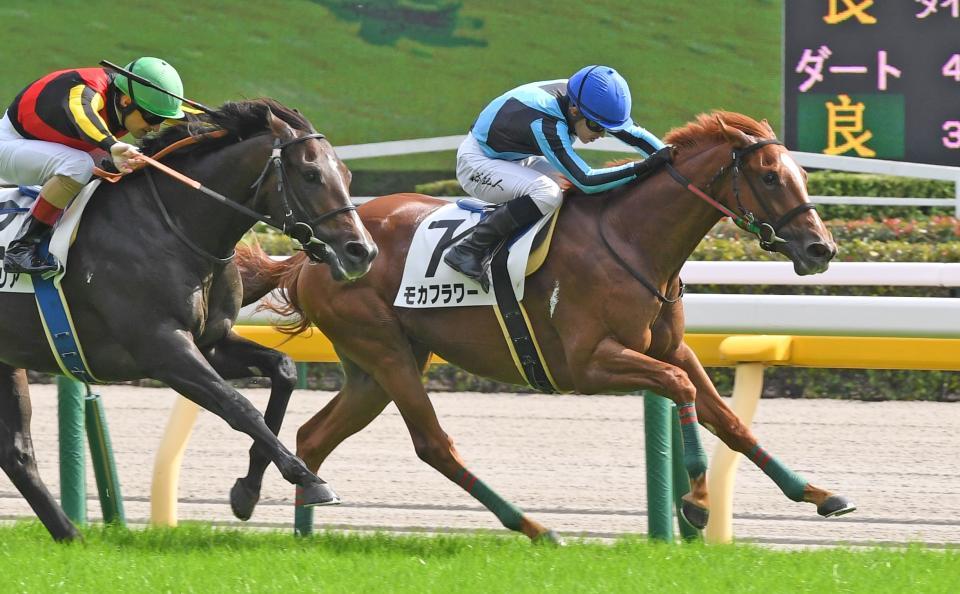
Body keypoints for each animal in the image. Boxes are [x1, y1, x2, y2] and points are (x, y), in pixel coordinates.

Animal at [0, 98, 377, 541]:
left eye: (347, 175)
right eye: (311, 173)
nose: (361, 251)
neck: (173, 226)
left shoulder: (210, 343)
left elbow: (282, 370)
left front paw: (248, 491)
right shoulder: (162, 349)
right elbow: (237, 406)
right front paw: (307, 477)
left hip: (8, 363)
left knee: (16, 452)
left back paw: (70, 535)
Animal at [235, 111, 855, 542]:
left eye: (803, 173)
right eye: (770, 177)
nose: (820, 249)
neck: (631, 238)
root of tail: (313, 253)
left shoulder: (673, 348)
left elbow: (729, 420)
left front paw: (818, 493)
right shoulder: (590, 363)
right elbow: (682, 392)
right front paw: (697, 503)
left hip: (379, 365)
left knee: (314, 436)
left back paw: (302, 530)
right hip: (385, 350)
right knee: (434, 445)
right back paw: (535, 527)